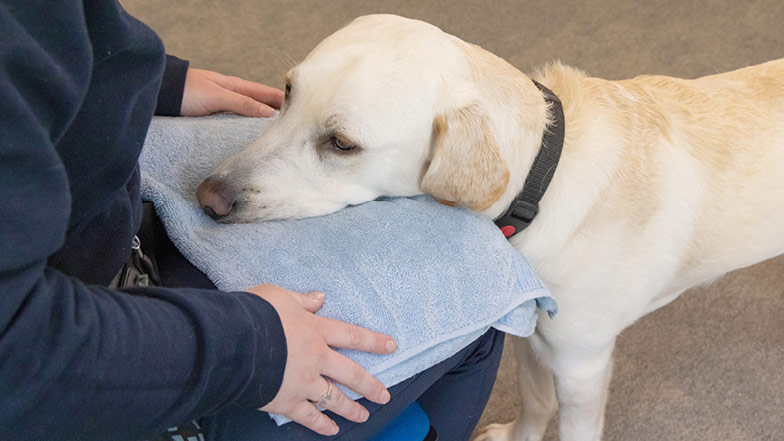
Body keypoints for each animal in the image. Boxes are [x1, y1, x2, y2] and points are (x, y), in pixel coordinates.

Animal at [198, 13, 784, 440]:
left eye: (341, 144)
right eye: (286, 92)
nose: (206, 197)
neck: (540, 186)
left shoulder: (582, 365)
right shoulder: (535, 336)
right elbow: (534, 399)